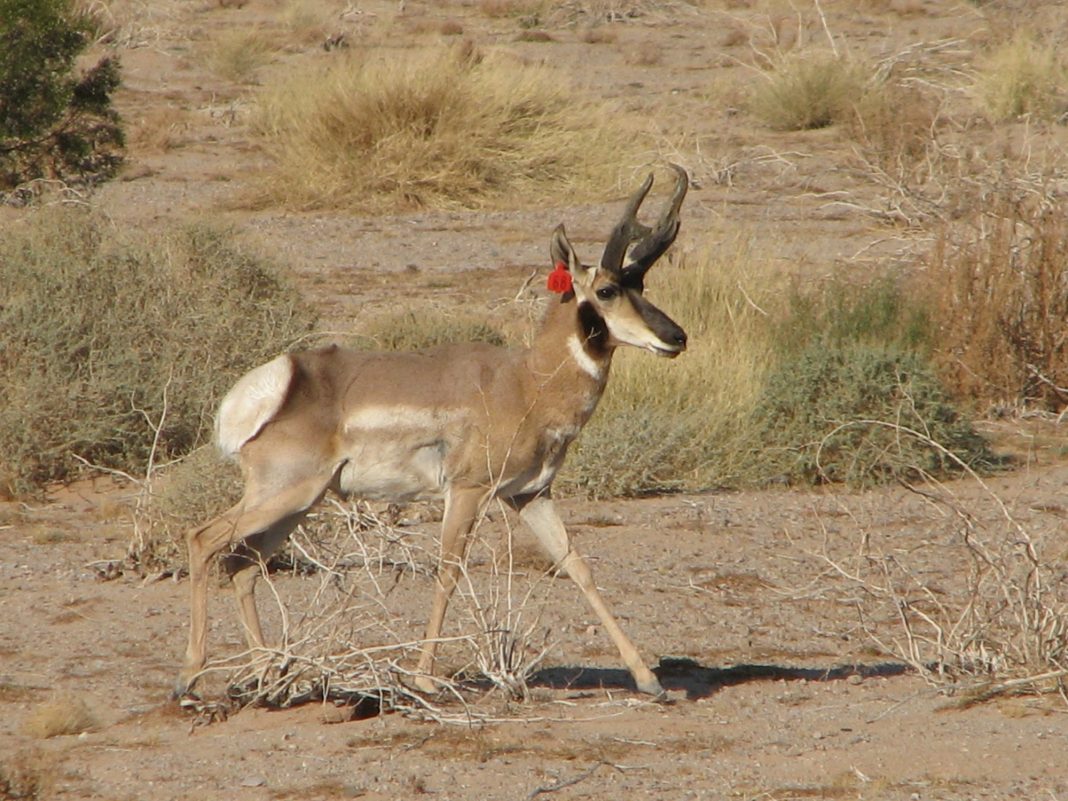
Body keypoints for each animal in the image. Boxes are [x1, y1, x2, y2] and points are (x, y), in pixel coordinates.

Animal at [173, 166, 692, 700]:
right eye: (607, 290)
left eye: (641, 282)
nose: (676, 337)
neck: (525, 380)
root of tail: (287, 376)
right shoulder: (467, 491)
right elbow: (448, 571)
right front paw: (423, 677)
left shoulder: (529, 495)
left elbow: (578, 566)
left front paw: (649, 679)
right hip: (284, 495)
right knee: (203, 539)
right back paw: (190, 677)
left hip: (299, 503)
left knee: (242, 566)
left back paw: (268, 676)